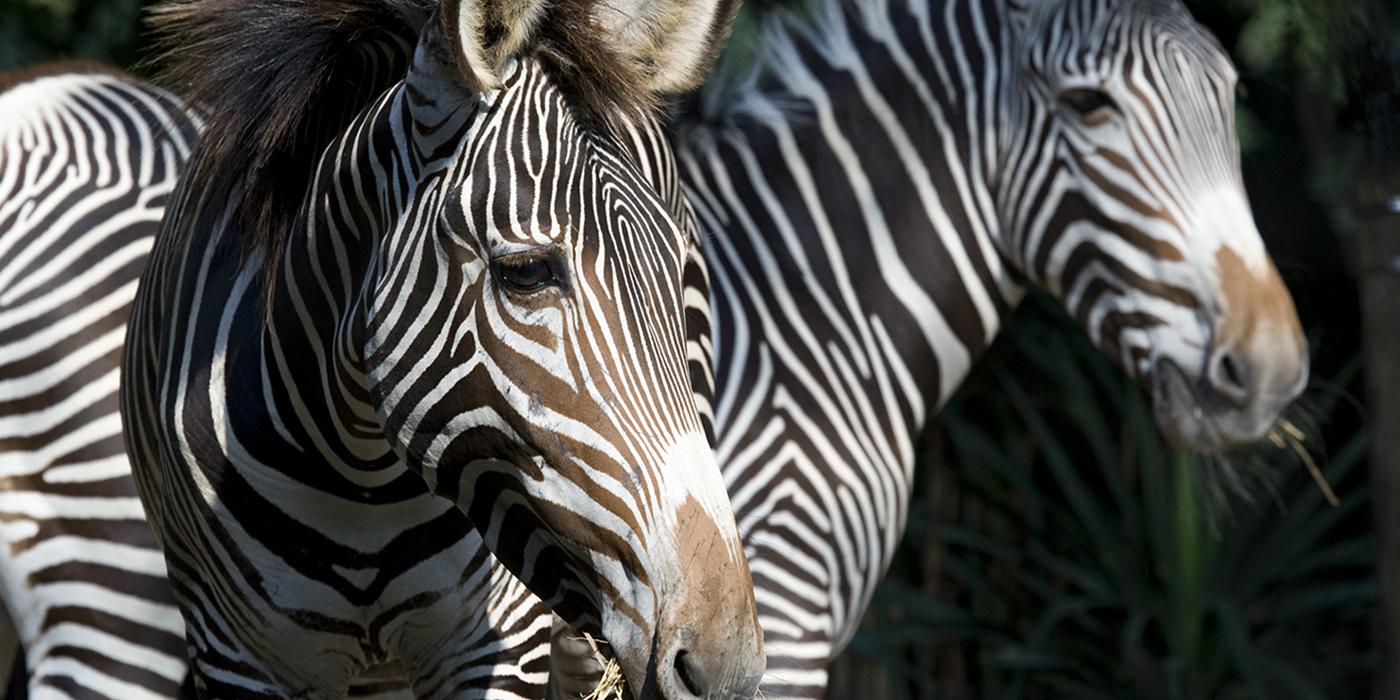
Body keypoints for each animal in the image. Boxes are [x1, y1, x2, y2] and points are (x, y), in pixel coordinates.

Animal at [123, 0, 767, 697]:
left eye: (678, 267)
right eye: (526, 273)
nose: (726, 666)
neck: (359, 481)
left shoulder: (496, 648)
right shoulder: (235, 656)